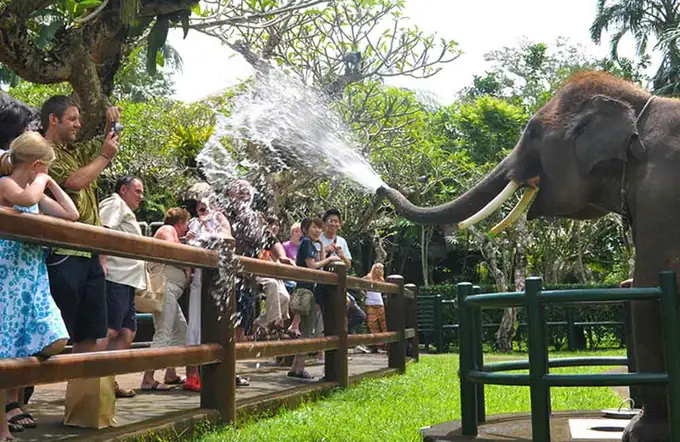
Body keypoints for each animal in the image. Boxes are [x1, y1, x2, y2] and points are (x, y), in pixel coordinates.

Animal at [377, 71, 680, 441]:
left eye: (533, 132)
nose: (379, 188)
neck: (641, 105)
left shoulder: (660, 195)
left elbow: (647, 287)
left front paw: (639, 432)